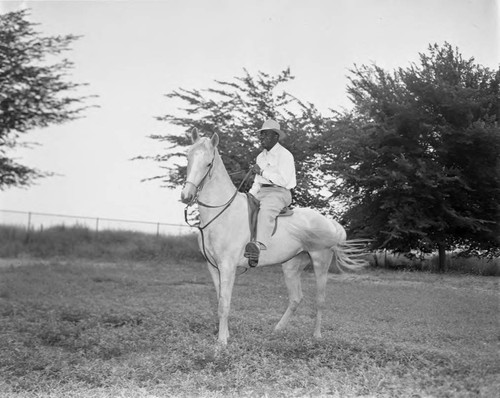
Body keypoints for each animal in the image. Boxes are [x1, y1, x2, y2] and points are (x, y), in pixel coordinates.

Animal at [181, 130, 368, 346]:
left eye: (208, 164)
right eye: (188, 158)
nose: (186, 196)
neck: (223, 213)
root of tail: (330, 223)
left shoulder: (227, 266)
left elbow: (224, 305)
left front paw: (221, 343)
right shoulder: (213, 267)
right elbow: (221, 300)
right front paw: (225, 336)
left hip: (321, 261)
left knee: (320, 299)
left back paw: (316, 336)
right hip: (292, 266)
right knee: (296, 298)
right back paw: (277, 330)